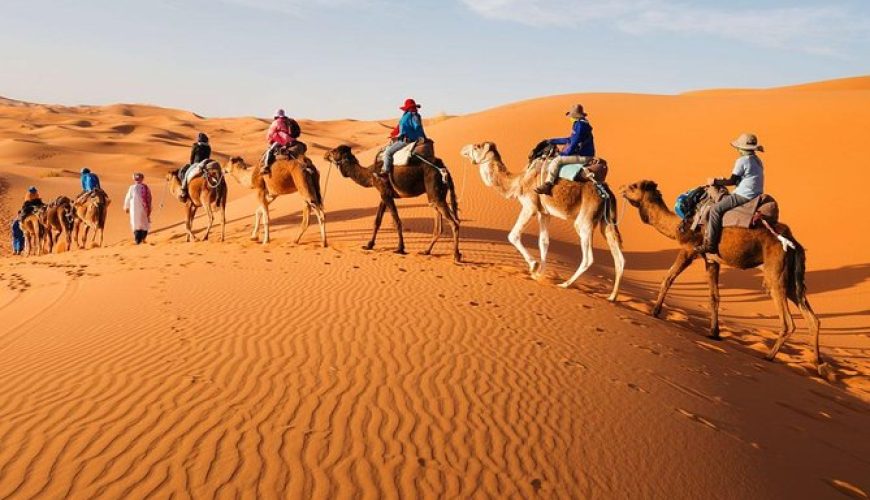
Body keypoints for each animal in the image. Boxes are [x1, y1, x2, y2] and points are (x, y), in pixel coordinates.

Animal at [324, 145, 464, 262]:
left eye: (334, 151)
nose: (325, 154)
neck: (370, 174)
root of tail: (444, 169)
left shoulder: (385, 193)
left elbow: (397, 220)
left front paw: (400, 248)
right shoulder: (384, 194)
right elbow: (377, 221)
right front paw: (369, 245)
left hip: (435, 191)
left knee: (454, 222)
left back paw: (456, 255)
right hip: (436, 195)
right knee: (439, 225)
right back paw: (426, 251)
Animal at [464, 141, 628, 300]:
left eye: (477, 146)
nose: (463, 149)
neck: (519, 181)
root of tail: (607, 193)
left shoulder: (530, 206)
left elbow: (513, 235)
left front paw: (534, 266)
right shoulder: (544, 213)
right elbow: (544, 242)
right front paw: (539, 274)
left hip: (585, 220)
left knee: (588, 257)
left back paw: (565, 284)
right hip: (606, 222)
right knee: (619, 258)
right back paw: (612, 296)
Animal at [620, 180, 832, 376]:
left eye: (633, 186)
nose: (621, 188)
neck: (679, 225)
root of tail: (794, 243)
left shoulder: (689, 250)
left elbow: (668, 278)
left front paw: (655, 312)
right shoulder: (711, 260)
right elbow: (714, 297)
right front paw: (714, 333)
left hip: (775, 273)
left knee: (788, 321)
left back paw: (769, 356)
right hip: (791, 280)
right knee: (812, 319)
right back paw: (819, 365)